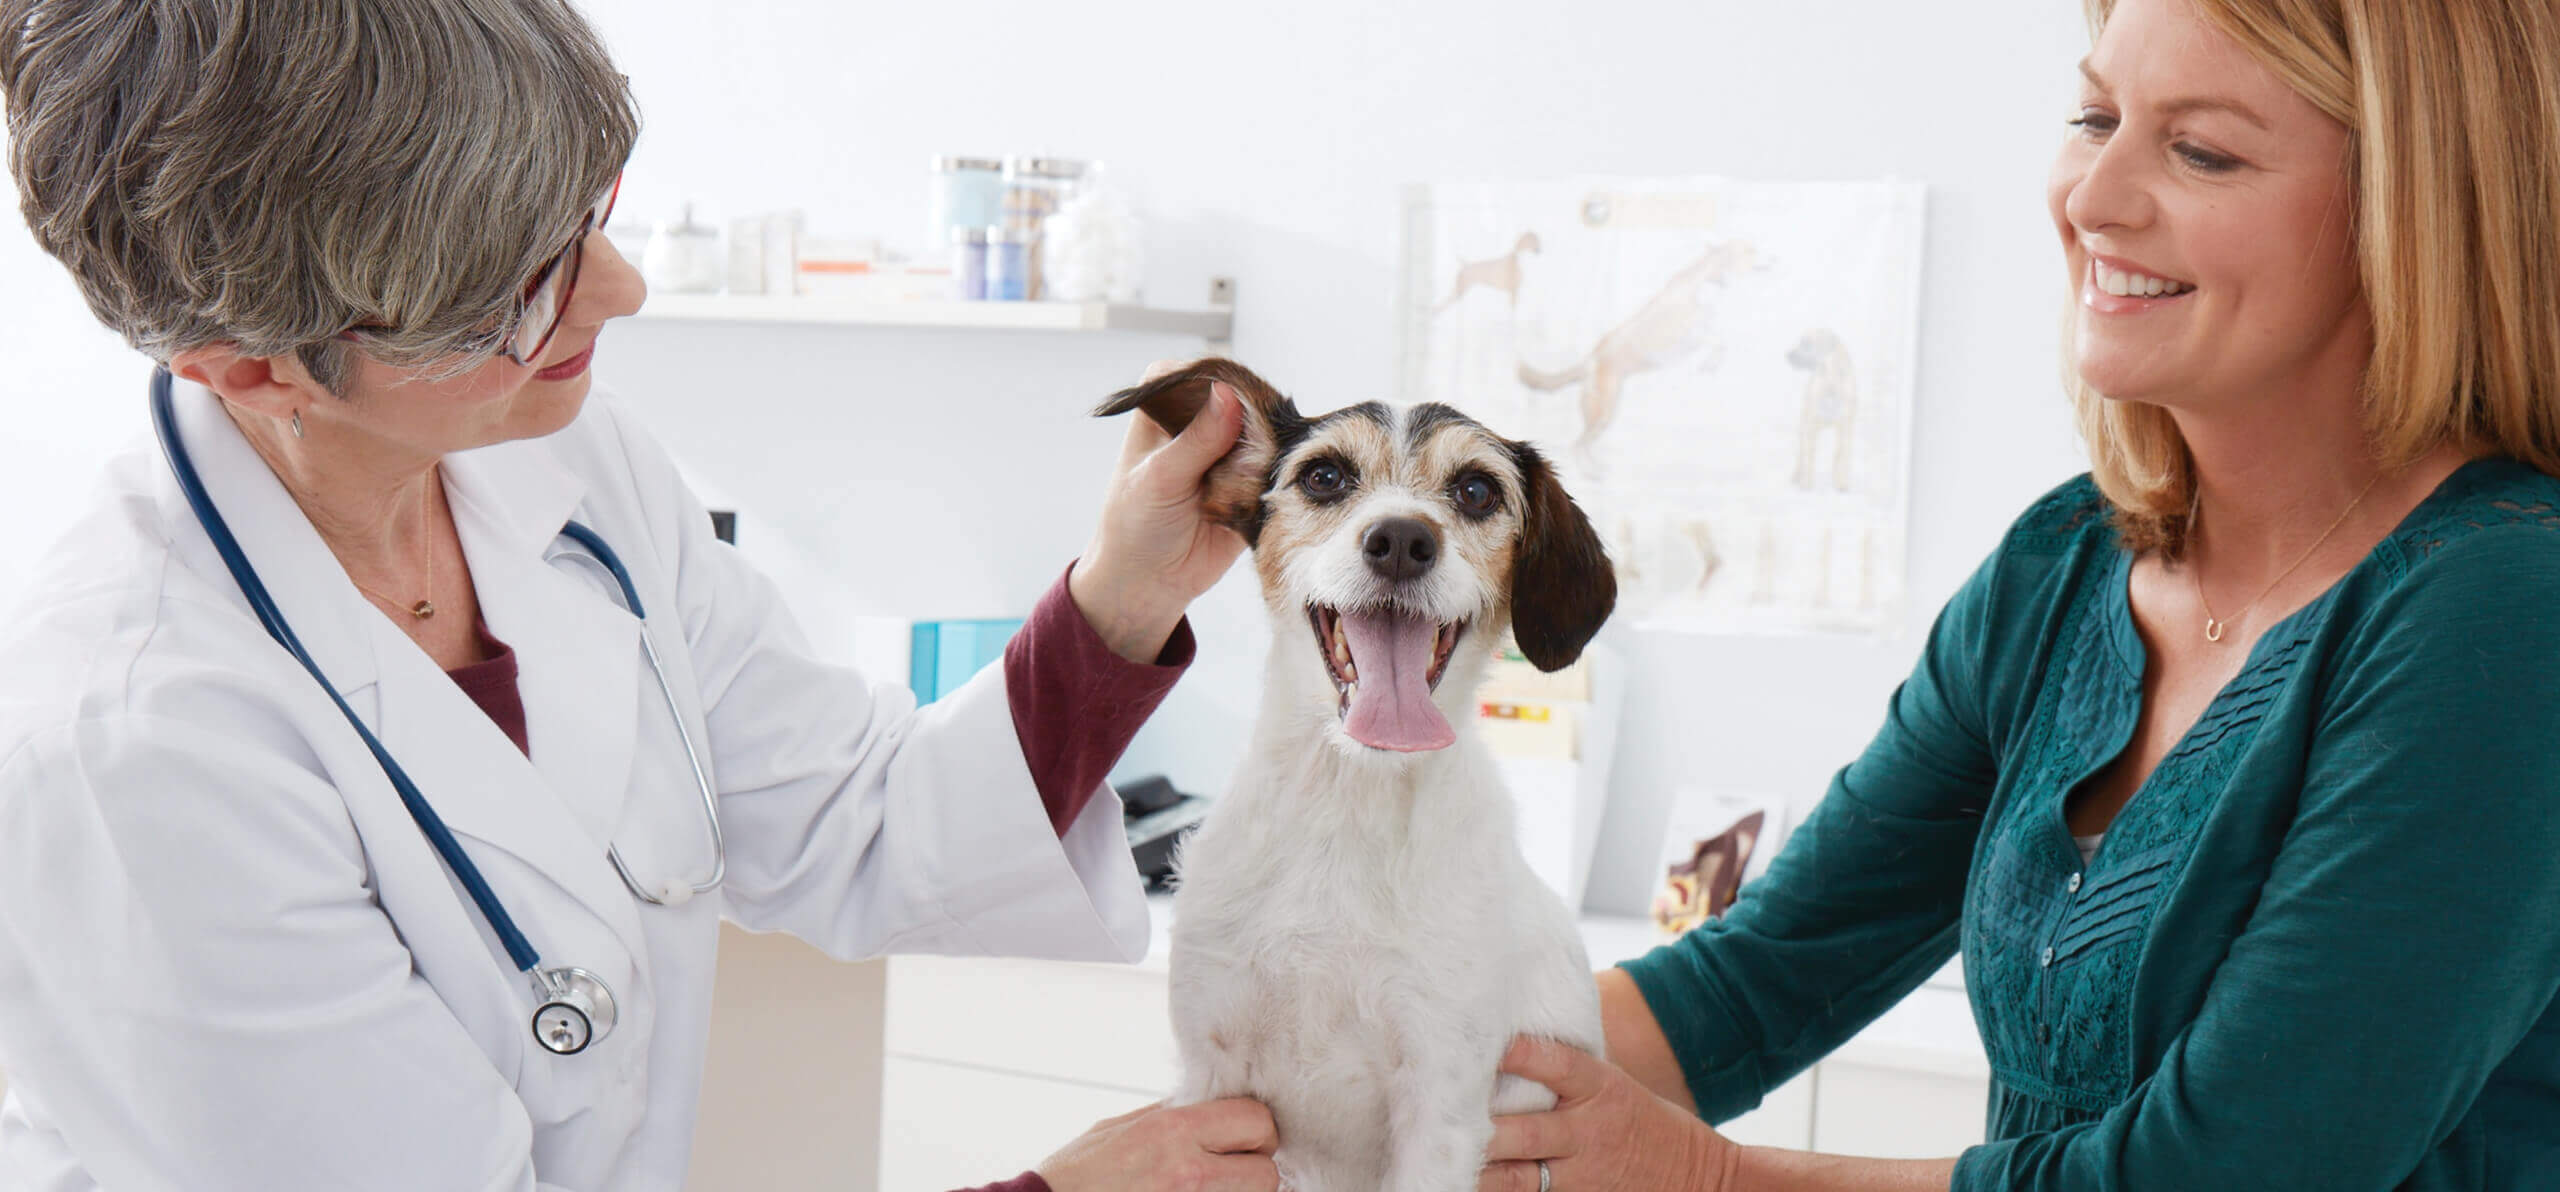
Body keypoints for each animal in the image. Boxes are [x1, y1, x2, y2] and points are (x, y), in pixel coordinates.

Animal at [1090, 358, 1607, 1186]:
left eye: (1476, 490)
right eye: (1325, 476)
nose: (1400, 539)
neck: (1348, 800)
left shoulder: (1440, 1110)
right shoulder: (1213, 1082)